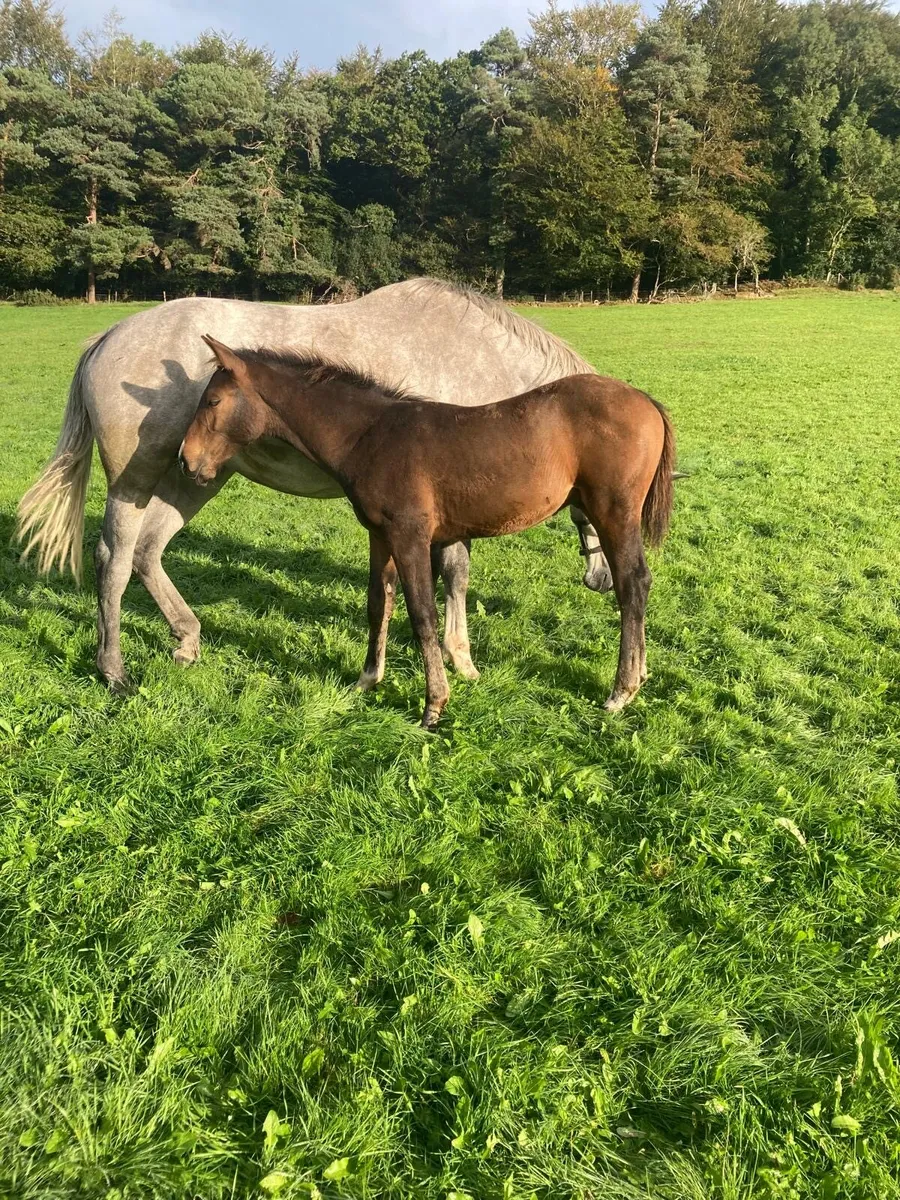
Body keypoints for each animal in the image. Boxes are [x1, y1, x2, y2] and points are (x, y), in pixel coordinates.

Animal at [15, 279, 612, 693]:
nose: (603, 578)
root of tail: (108, 336)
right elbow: (456, 575)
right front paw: (461, 659)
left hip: (195, 477)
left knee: (147, 552)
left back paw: (187, 639)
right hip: (137, 479)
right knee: (114, 559)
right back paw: (113, 669)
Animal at [180, 337, 675, 728]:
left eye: (213, 402)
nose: (186, 460)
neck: (369, 436)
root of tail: (646, 401)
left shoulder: (410, 536)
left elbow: (422, 614)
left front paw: (434, 705)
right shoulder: (379, 535)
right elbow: (378, 603)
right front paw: (367, 680)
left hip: (613, 513)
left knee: (633, 583)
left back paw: (621, 690)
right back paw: (638, 676)